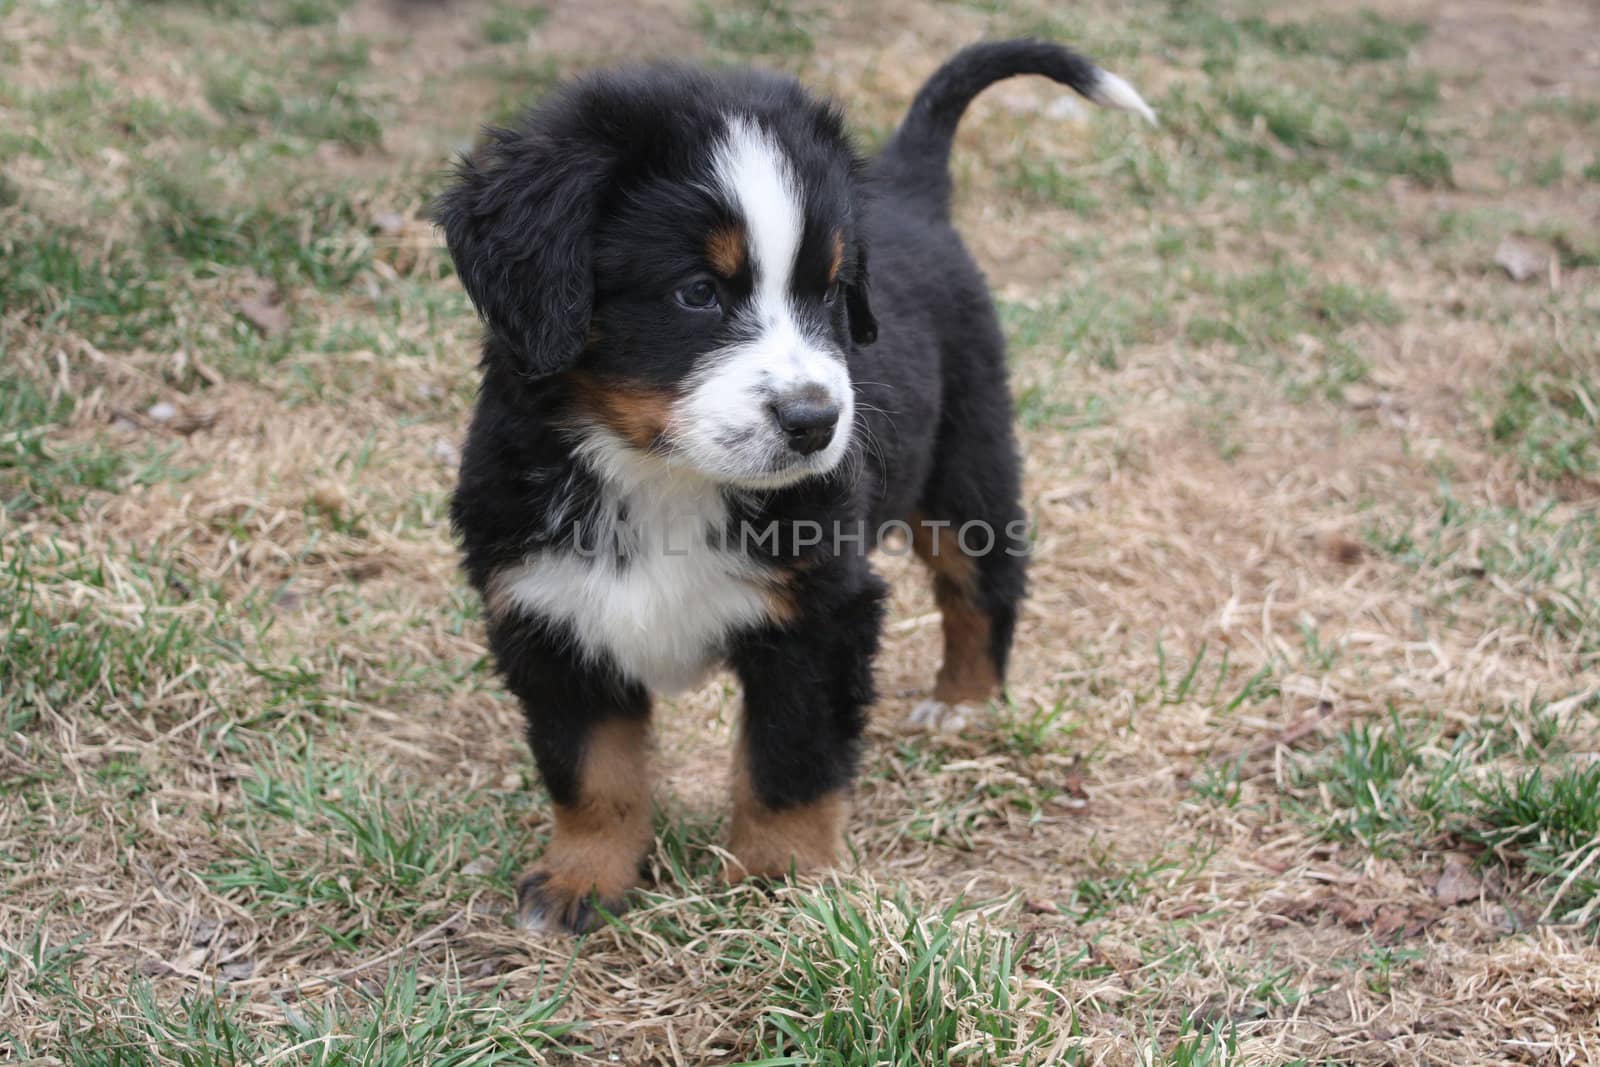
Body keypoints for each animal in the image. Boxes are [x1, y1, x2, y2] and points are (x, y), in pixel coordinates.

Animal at [438, 37, 1152, 927]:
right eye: (697, 292)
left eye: (831, 291)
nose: (816, 421)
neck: (658, 477)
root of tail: (909, 189)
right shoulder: (547, 611)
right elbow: (591, 768)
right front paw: (580, 878)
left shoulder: (822, 612)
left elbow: (789, 757)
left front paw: (778, 880)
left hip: (968, 459)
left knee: (982, 582)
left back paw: (963, 701)